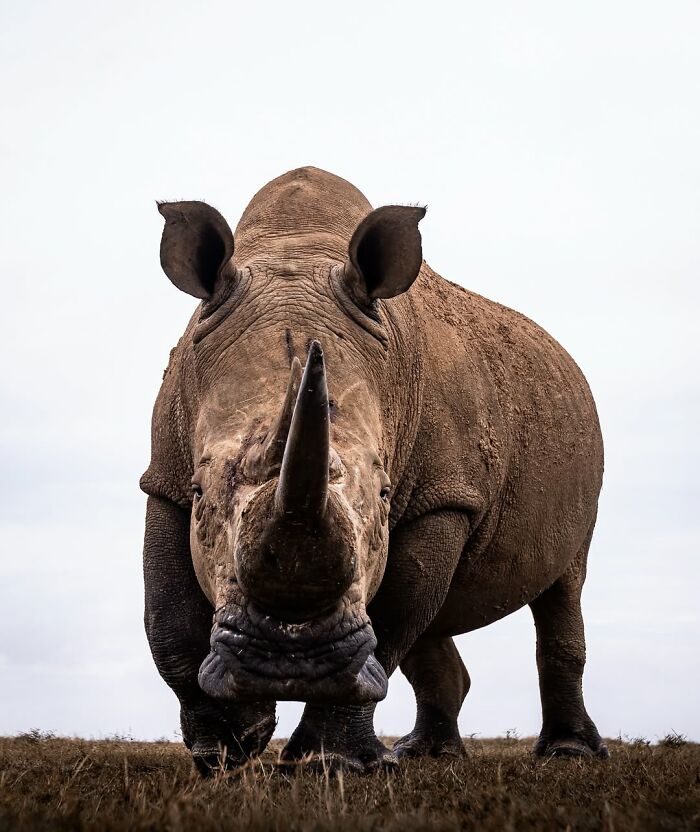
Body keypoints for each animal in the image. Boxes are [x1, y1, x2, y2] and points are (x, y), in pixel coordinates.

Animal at [141, 166, 608, 773]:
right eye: (200, 493)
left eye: (386, 496)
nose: (288, 663)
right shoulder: (163, 475)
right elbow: (166, 616)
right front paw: (226, 745)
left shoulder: (444, 497)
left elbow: (391, 620)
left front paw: (326, 763)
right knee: (435, 619)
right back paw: (426, 755)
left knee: (564, 583)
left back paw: (567, 754)